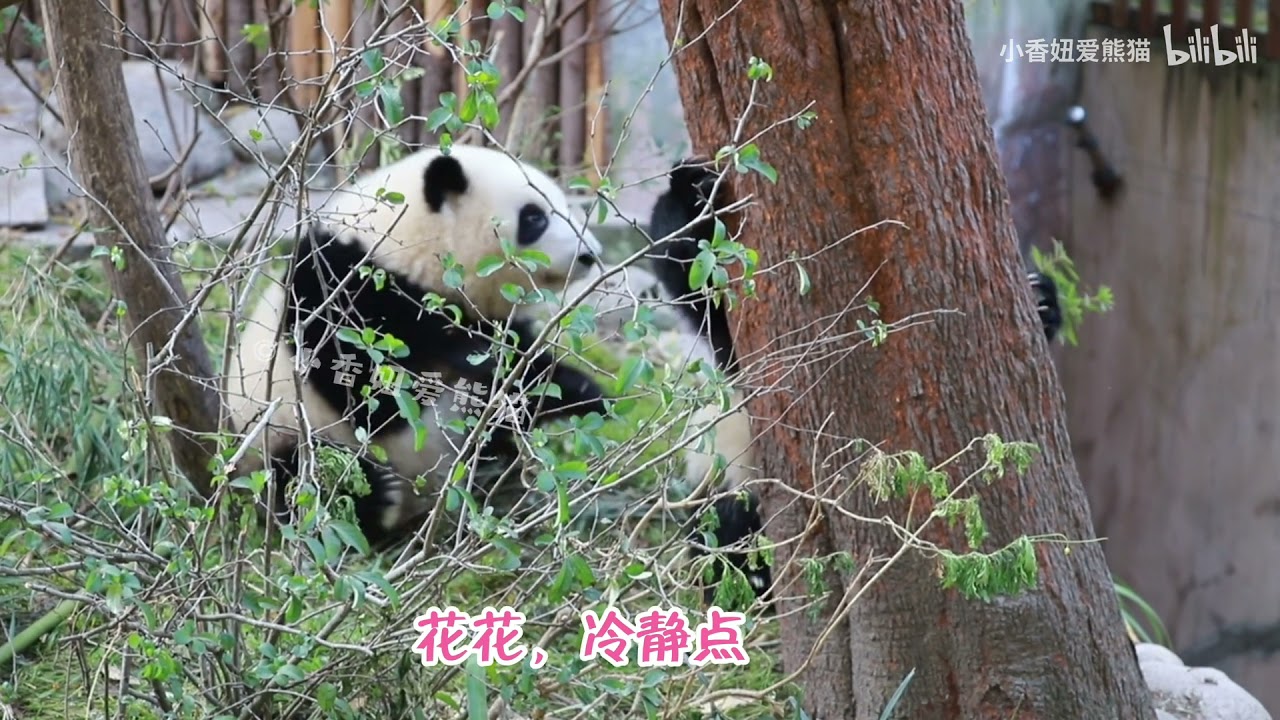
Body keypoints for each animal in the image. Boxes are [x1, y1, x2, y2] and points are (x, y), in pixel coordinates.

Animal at [224, 144, 611, 547]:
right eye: (534, 217)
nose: (590, 254)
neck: (408, 244)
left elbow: (521, 374)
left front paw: (586, 394)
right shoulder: (339, 284)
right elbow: (366, 394)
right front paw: (469, 353)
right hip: (275, 434)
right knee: (308, 477)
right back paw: (379, 499)